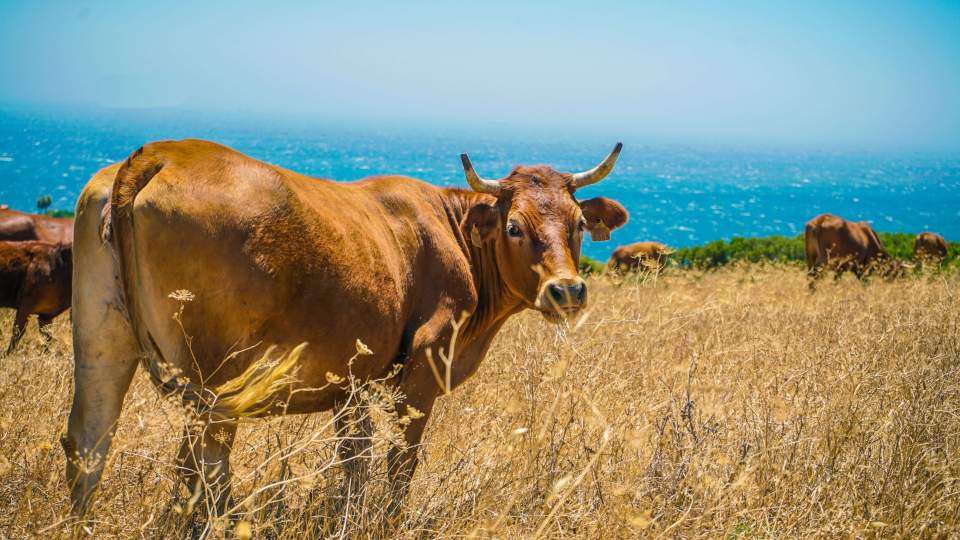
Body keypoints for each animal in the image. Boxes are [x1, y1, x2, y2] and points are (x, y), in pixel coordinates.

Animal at [62, 139, 632, 520]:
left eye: (579, 225)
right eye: (515, 227)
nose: (566, 290)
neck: (451, 232)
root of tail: (162, 152)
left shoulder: (351, 385)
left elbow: (354, 460)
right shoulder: (420, 374)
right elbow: (400, 462)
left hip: (101, 346)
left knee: (87, 444)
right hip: (214, 386)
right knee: (204, 465)